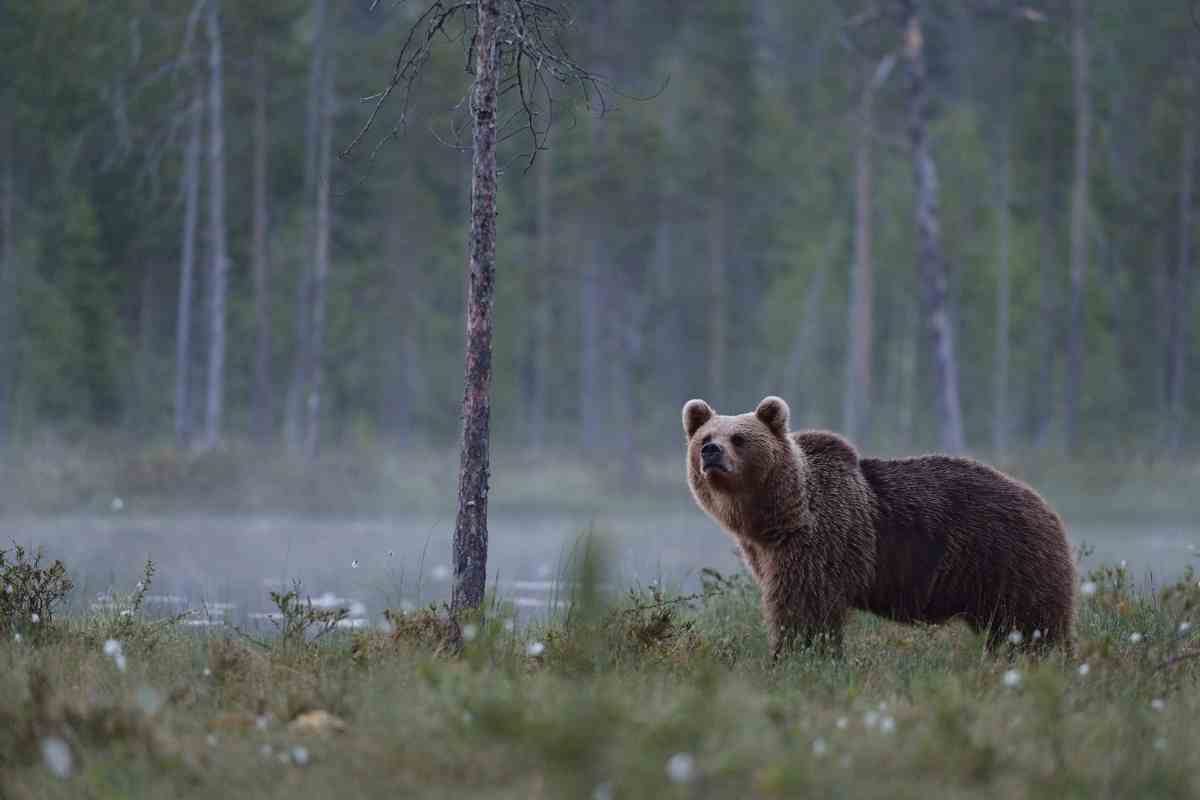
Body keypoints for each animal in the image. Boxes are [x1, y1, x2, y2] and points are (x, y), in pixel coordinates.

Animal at [683, 395, 1075, 658]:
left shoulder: (821, 540)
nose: (711, 452)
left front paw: (798, 654)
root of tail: (1045, 505)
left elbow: (805, 607)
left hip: (1004, 556)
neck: (778, 517)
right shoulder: (767, 553)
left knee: (1028, 621)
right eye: (705, 437)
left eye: (739, 438)